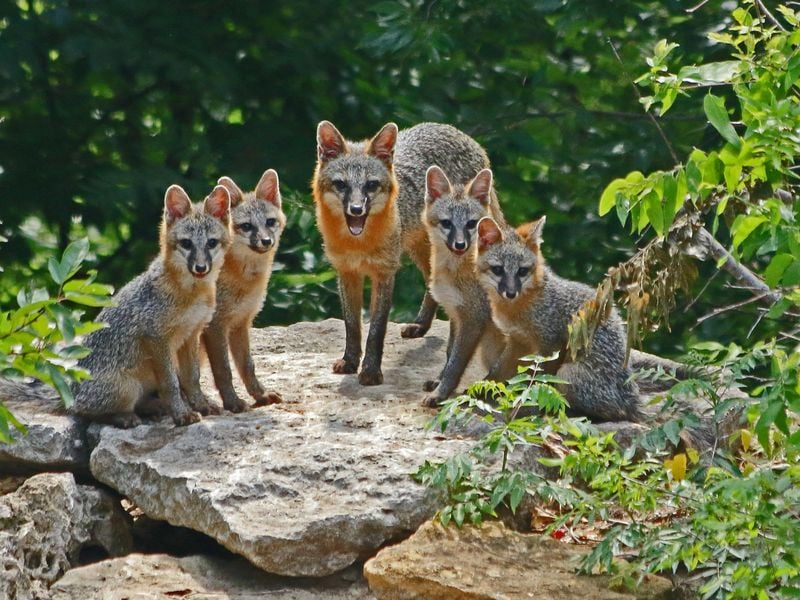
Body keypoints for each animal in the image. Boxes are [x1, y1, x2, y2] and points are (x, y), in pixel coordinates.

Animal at [2, 184, 234, 426]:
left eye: (211, 243)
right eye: (186, 244)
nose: (200, 268)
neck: (192, 294)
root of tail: (71, 394)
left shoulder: (191, 334)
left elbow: (192, 378)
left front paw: (201, 405)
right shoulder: (156, 337)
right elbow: (171, 383)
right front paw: (181, 413)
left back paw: (154, 408)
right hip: (126, 389)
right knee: (86, 412)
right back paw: (127, 417)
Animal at [203, 170, 288, 412]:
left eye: (270, 222)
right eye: (247, 226)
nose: (266, 241)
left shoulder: (240, 324)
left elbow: (247, 366)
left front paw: (261, 395)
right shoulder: (215, 327)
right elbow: (224, 371)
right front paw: (232, 402)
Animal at [312, 120, 494, 386]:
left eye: (371, 185)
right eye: (341, 185)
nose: (356, 209)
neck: (358, 243)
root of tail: (450, 128)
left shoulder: (385, 273)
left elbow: (376, 329)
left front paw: (370, 371)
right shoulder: (347, 272)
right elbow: (352, 325)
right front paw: (350, 361)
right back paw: (421, 325)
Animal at [422, 166, 504, 406]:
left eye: (471, 224)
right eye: (447, 223)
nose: (460, 244)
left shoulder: (473, 319)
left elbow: (456, 363)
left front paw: (440, 392)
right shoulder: (454, 313)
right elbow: (449, 352)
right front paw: (438, 381)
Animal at [478, 216, 640, 422]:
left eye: (522, 271)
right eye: (498, 270)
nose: (511, 293)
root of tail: (632, 400)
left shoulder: (553, 344)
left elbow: (541, 380)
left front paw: (528, 405)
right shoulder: (518, 341)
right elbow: (498, 372)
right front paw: (480, 390)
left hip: (568, 373)